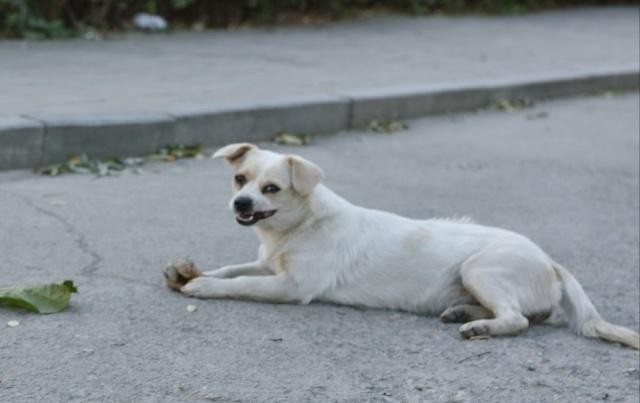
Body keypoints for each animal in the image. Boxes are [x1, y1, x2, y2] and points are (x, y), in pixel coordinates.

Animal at [166, 143, 640, 350]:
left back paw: (479, 327)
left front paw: (202, 287)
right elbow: (232, 269)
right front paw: (188, 272)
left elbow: (240, 284)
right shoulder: (269, 264)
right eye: (240, 179)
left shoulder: (290, 287)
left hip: (479, 268)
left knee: (519, 320)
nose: (241, 203)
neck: (300, 225)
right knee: (528, 315)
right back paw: (464, 313)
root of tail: (552, 262)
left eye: (271, 188)